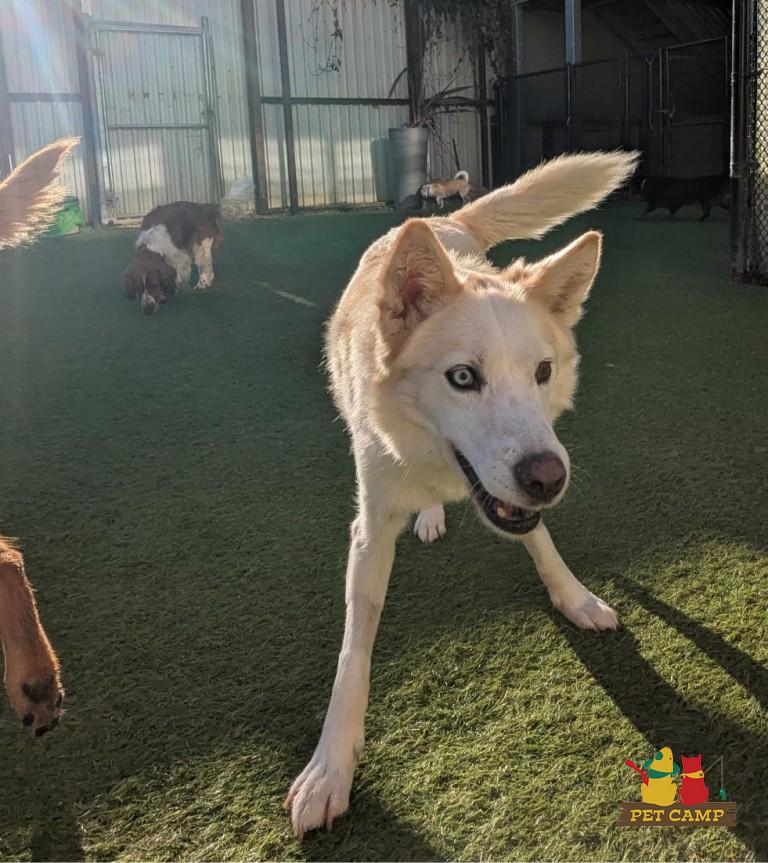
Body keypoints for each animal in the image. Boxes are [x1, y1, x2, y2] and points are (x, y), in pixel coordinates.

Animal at [284, 150, 638, 837]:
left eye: (543, 371)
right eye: (463, 378)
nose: (549, 479)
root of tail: (442, 221)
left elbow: (542, 541)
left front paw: (574, 597)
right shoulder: (369, 530)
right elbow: (353, 651)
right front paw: (330, 767)